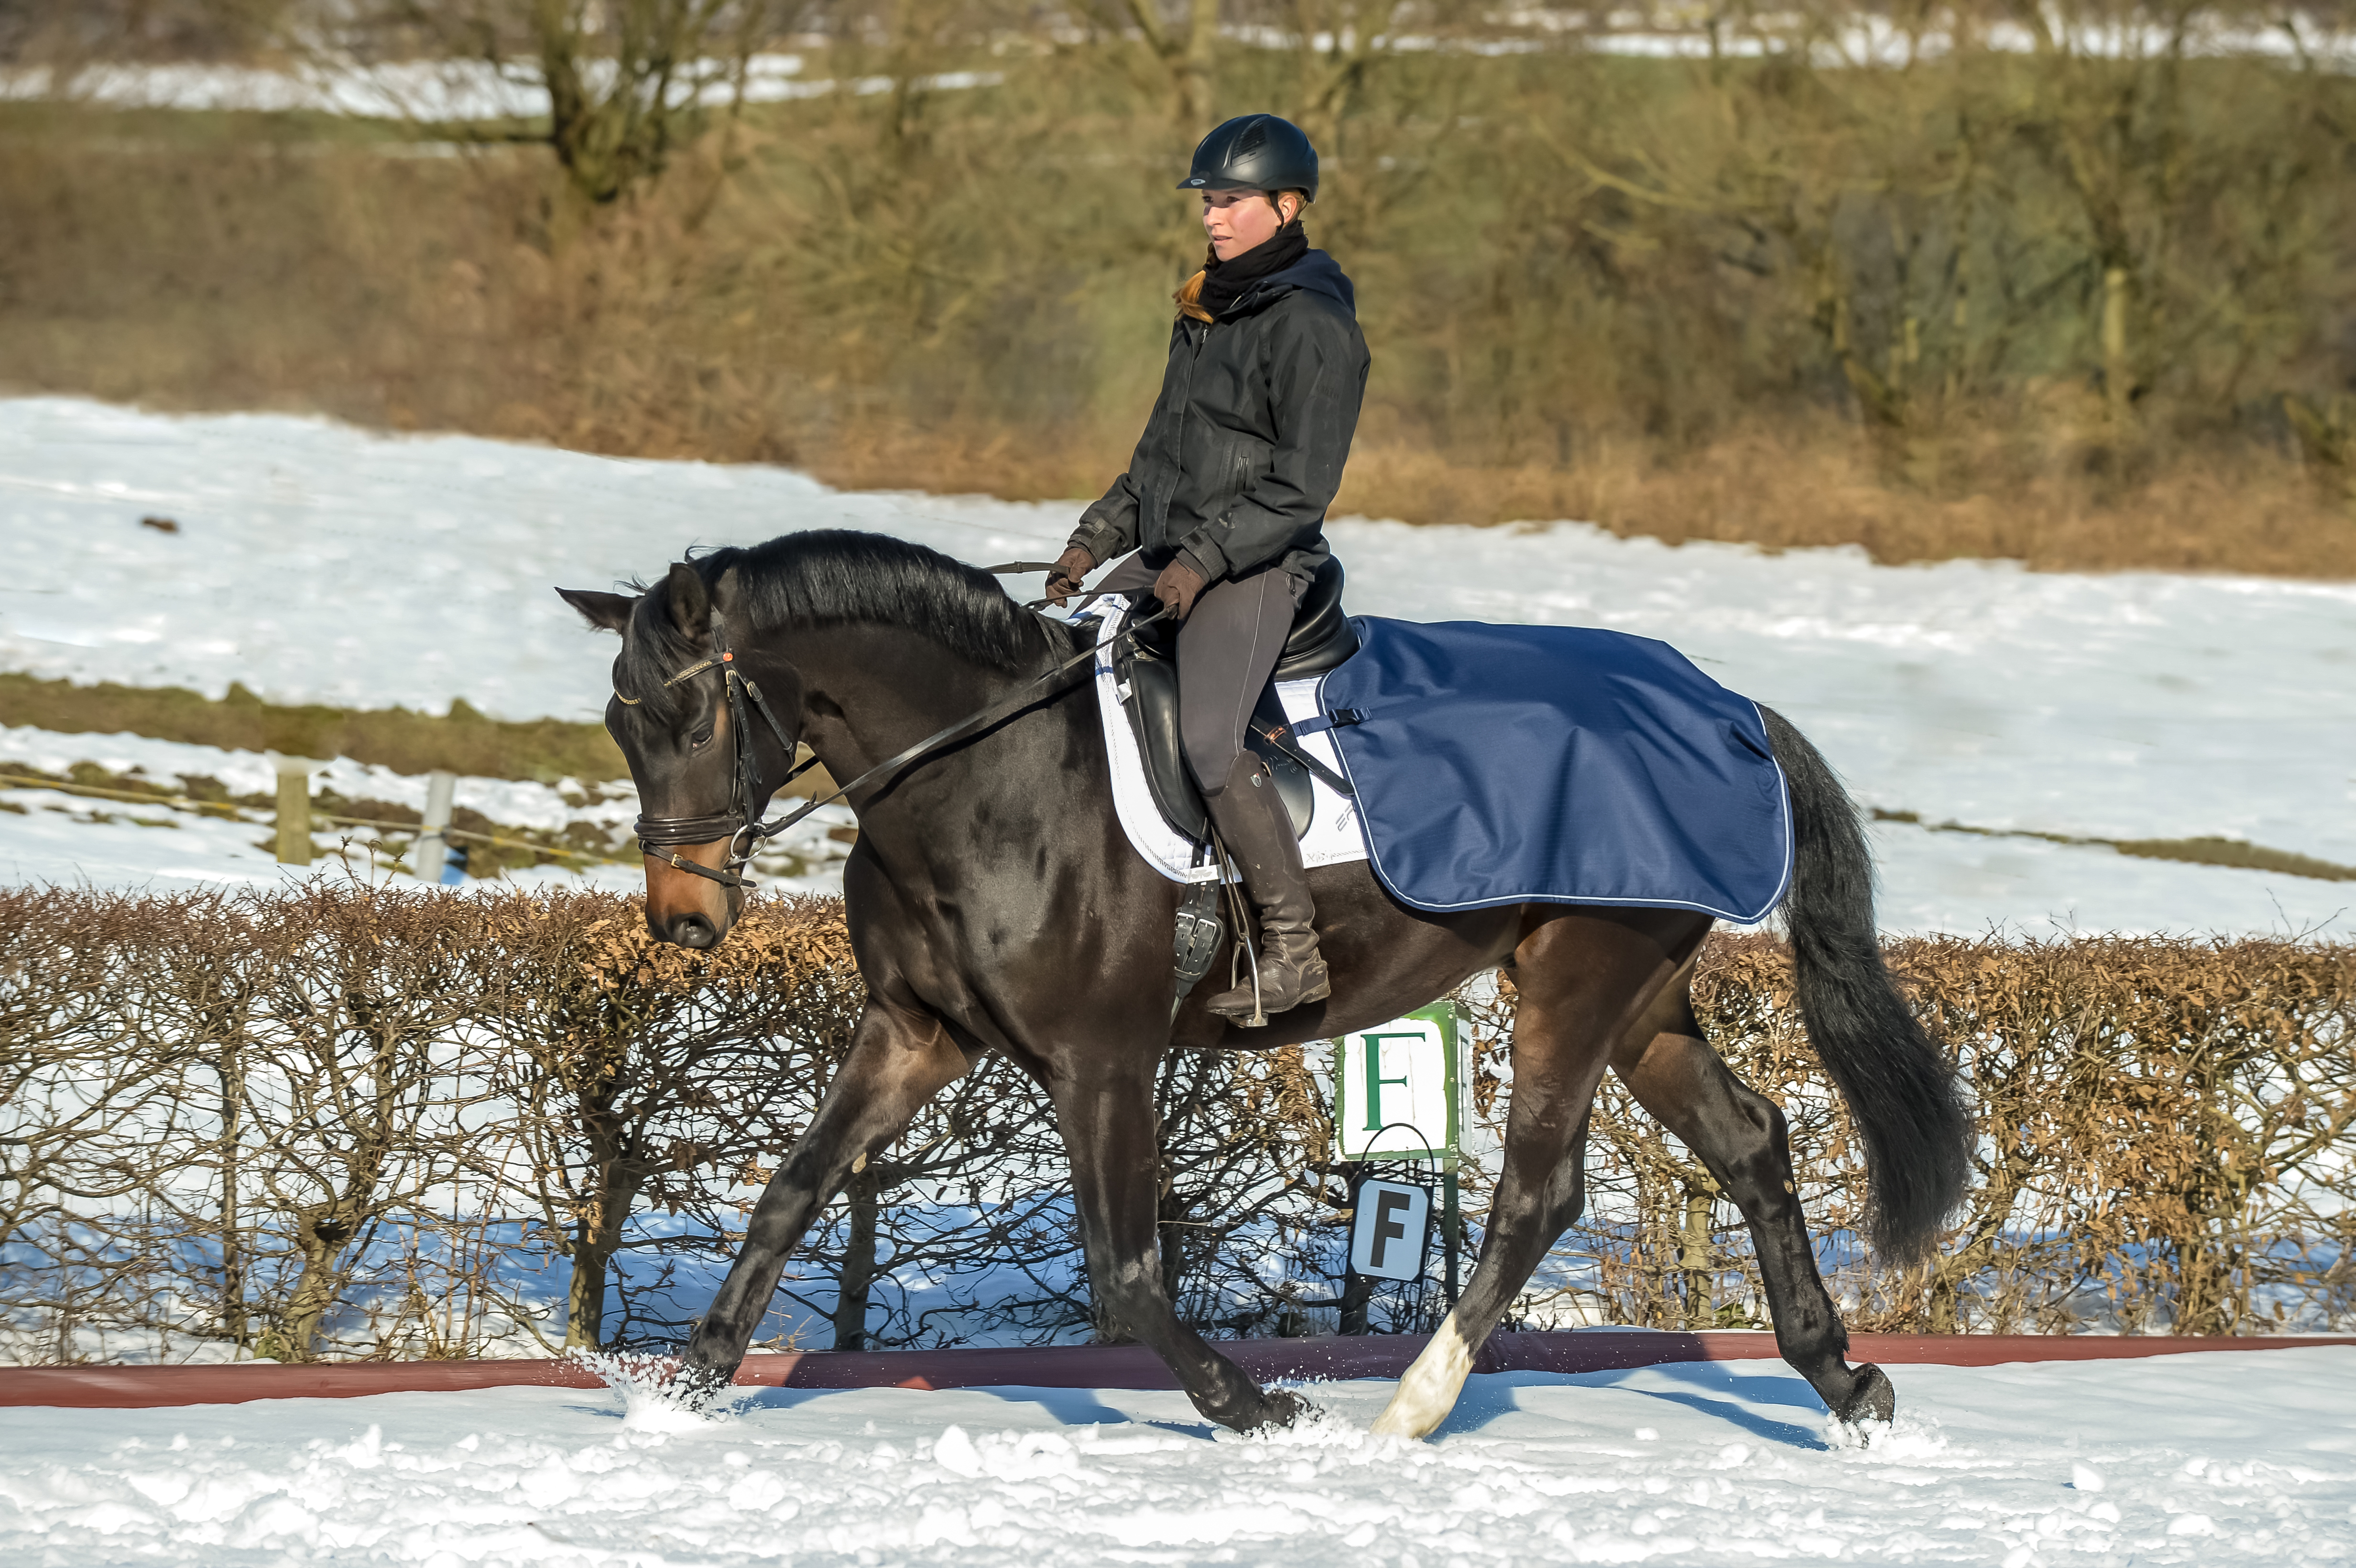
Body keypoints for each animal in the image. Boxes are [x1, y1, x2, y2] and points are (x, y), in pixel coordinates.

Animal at [556, 532, 1969, 1431]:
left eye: (691, 718)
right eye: (623, 725)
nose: (684, 919)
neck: (983, 778)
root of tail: (1725, 705)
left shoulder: (1101, 1059)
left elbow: (1127, 1268)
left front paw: (1253, 1406)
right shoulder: (915, 1032)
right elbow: (791, 1191)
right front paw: (689, 1385)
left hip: (1582, 973)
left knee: (1539, 1194)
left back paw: (1410, 1409)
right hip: (1640, 993)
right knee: (1753, 1141)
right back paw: (1843, 1381)